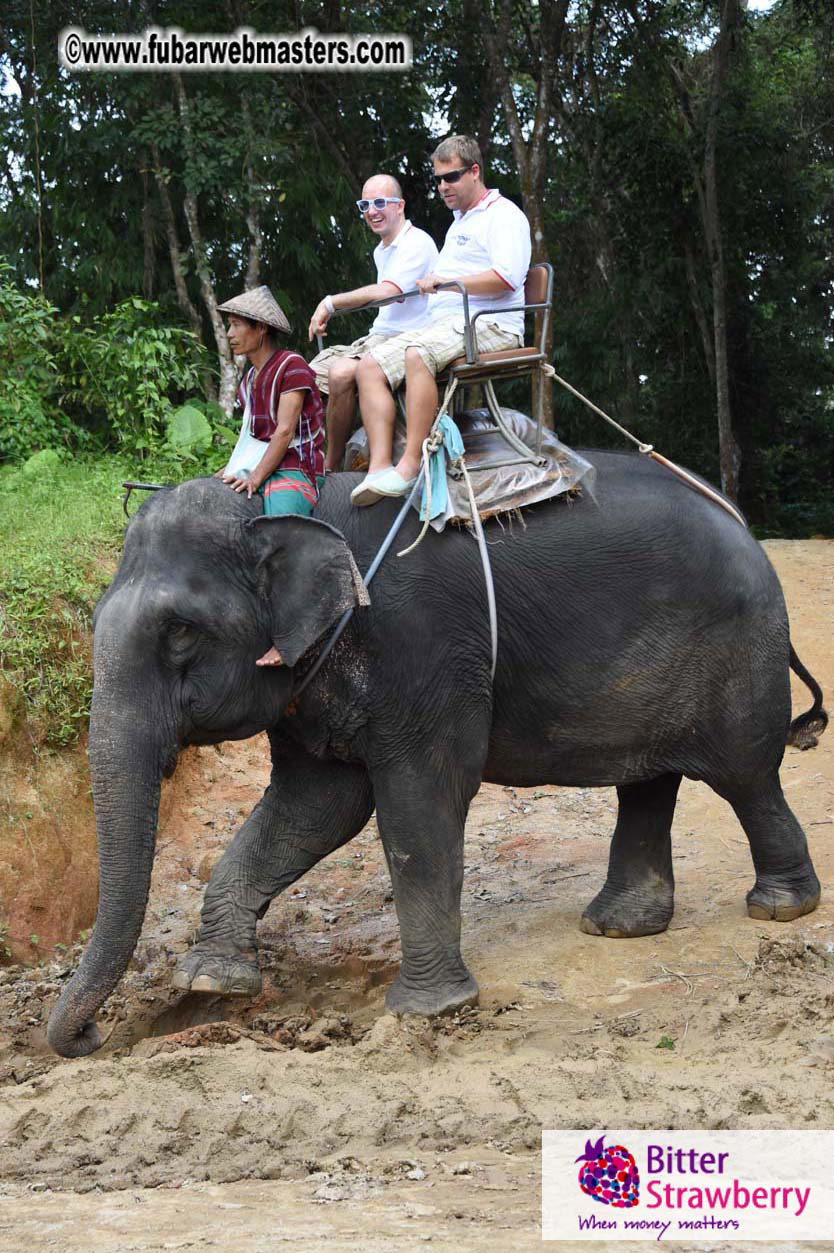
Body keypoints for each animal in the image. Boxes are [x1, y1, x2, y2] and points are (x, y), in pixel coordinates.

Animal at [47, 456, 827, 1058]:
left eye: (179, 632)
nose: (89, 1038)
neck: (297, 509)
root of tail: (745, 528)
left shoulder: (423, 647)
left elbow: (419, 803)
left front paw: (427, 1011)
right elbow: (315, 807)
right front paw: (212, 979)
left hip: (737, 654)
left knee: (745, 775)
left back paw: (779, 908)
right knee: (649, 779)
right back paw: (618, 924)